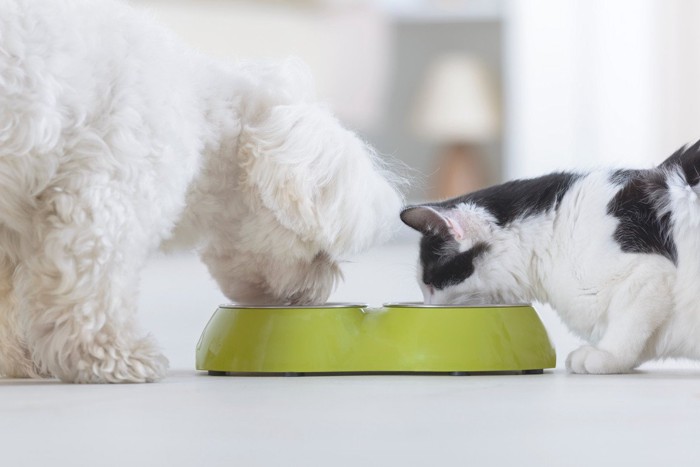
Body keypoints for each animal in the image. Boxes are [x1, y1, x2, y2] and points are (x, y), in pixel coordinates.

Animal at [0, 0, 402, 384]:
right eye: (318, 252)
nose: (316, 296)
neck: (203, 116)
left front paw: (18, 359)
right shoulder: (107, 202)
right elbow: (94, 290)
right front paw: (116, 358)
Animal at [400, 141, 700, 374]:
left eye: (430, 283)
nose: (428, 307)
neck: (555, 231)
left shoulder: (649, 275)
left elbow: (627, 324)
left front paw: (607, 355)